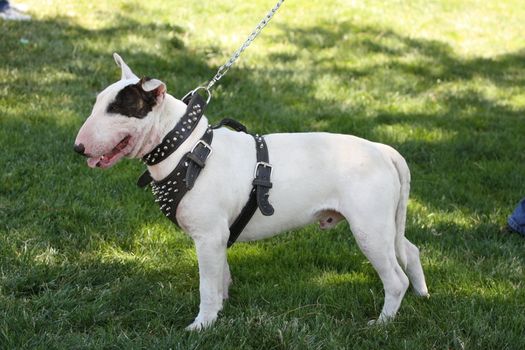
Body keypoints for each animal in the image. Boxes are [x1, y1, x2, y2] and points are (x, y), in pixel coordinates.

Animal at [73, 53, 428, 330]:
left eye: (117, 109)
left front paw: (201, 325)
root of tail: (382, 150)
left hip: (369, 228)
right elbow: (220, 277)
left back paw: (382, 323)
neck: (184, 146)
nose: (78, 148)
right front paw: (220, 309)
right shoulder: (218, 239)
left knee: (395, 278)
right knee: (410, 250)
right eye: (98, 103)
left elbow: (206, 286)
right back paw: (423, 295)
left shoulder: (208, 237)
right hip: (384, 225)